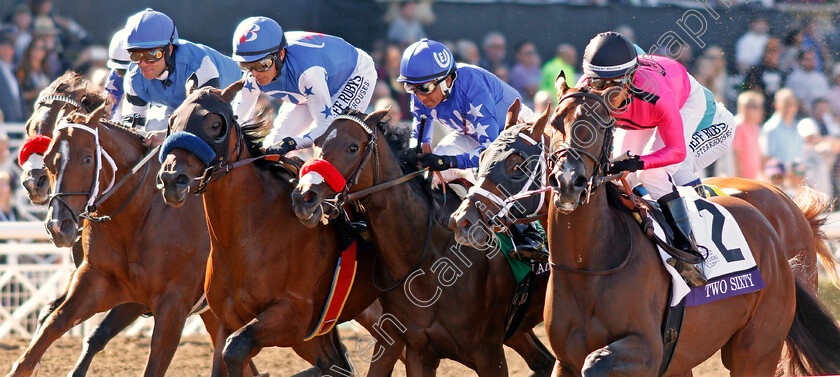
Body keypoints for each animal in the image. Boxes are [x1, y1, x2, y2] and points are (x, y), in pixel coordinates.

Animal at [158, 83, 406, 374]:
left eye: (216, 124)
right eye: (172, 120)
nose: (172, 178)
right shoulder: (227, 320)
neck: (247, 237)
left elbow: (235, 349)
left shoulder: (291, 316)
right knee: (335, 362)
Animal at [288, 107, 556, 374]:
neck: (428, 261)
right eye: (317, 142)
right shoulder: (418, 351)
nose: (303, 197)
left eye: (352, 147)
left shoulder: (488, 353)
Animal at [540, 78, 840, 374]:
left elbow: (595, 362)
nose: (569, 181)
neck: (588, 265)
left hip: (757, 349)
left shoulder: (649, 351)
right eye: (555, 122)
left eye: (603, 126)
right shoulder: (564, 360)